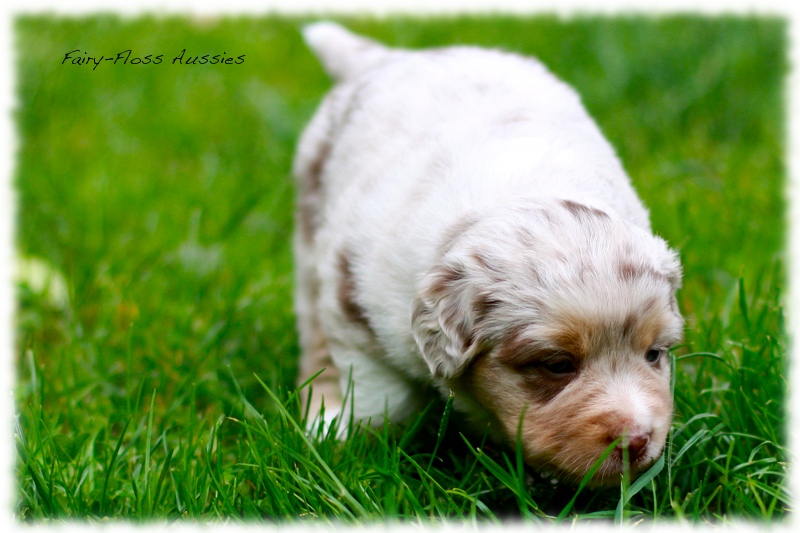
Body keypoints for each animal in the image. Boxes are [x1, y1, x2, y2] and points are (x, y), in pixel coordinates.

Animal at [294, 23, 680, 482]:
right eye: (557, 364)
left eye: (654, 354)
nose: (637, 440)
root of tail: (386, 57)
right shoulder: (356, 313)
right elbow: (379, 395)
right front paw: (358, 446)